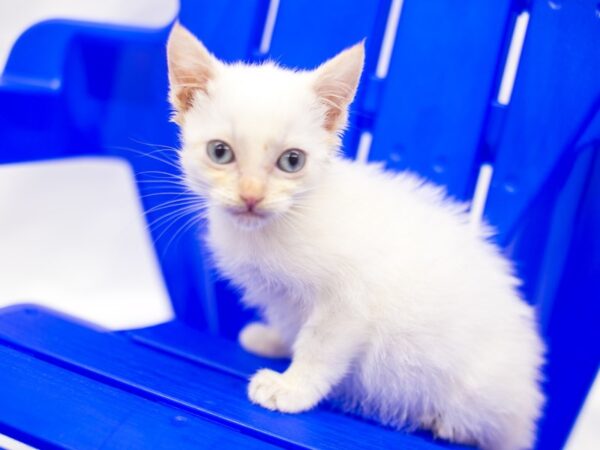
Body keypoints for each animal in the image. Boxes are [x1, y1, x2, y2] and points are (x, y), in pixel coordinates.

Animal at [166, 23, 548, 450]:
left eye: (292, 161)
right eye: (220, 152)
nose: (251, 197)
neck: (281, 224)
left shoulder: (351, 301)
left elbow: (319, 345)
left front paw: (292, 389)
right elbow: (292, 322)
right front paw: (273, 340)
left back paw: (444, 423)